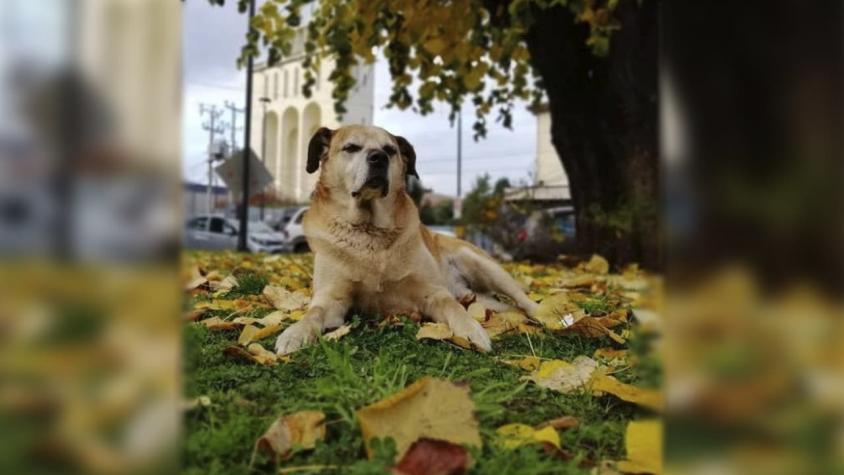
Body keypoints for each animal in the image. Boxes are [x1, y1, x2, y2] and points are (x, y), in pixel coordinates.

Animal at [276, 124, 540, 356]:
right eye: (351, 147)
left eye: (390, 149)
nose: (379, 157)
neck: (369, 230)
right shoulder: (332, 298)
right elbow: (314, 313)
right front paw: (296, 333)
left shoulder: (433, 293)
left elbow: (453, 308)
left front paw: (471, 329)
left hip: (485, 266)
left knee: (523, 301)